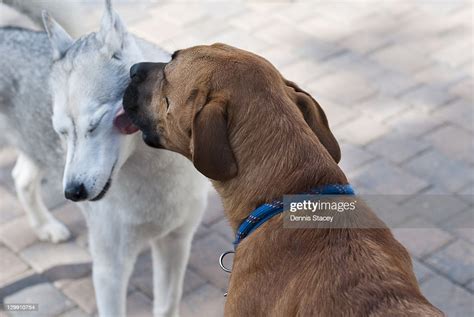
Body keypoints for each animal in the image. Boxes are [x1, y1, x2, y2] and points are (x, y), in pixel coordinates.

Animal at [0, 1, 209, 314]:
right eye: (62, 131)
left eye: (94, 124)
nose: (73, 192)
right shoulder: (111, 269)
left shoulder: (176, 240)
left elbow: (167, 306)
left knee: (20, 178)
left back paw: (46, 228)